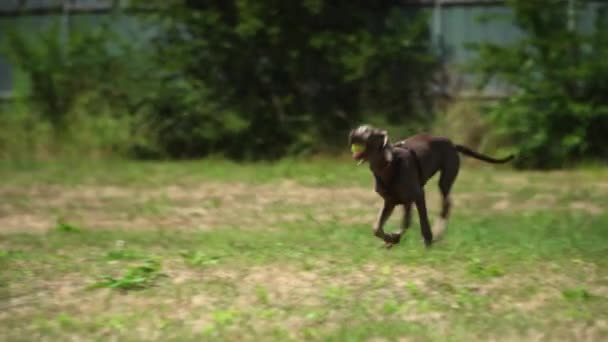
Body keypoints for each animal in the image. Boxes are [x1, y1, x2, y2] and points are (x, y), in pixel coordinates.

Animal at [346, 124, 512, 247]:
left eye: (368, 131)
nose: (354, 131)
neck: (388, 166)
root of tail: (452, 144)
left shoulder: (418, 194)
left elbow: (421, 220)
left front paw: (427, 239)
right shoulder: (391, 201)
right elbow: (378, 228)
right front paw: (391, 239)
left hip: (446, 178)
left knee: (446, 204)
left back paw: (438, 232)